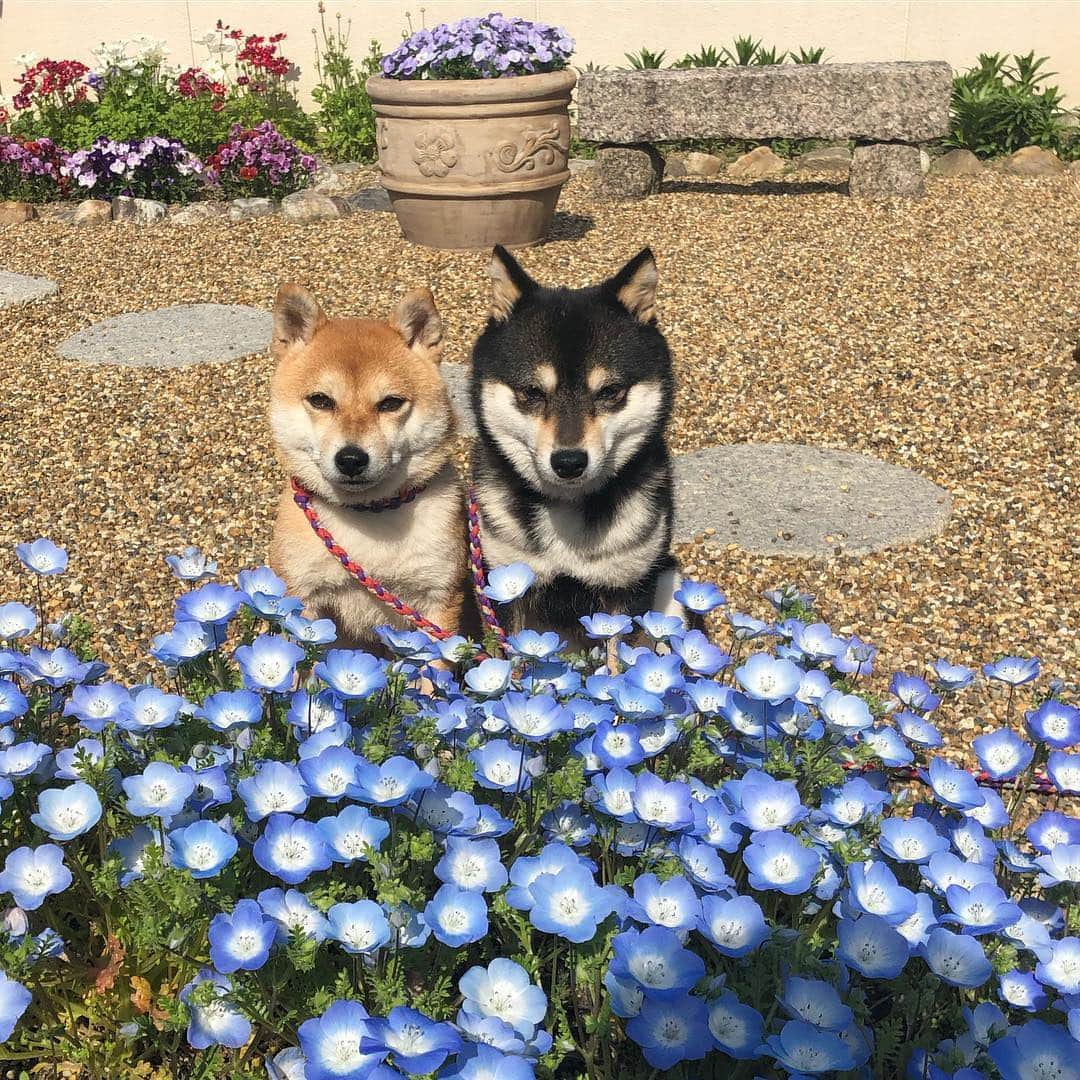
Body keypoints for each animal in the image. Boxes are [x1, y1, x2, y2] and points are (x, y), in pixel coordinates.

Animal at [267, 280, 466, 648]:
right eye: (320, 400)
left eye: (390, 403)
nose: (351, 459)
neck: (367, 516)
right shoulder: (300, 597)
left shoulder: (439, 599)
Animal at [470, 247, 686, 648]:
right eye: (532, 392)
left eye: (610, 391)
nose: (569, 462)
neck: (566, 509)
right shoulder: (507, 585)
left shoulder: (627, 587)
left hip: (670, 581)